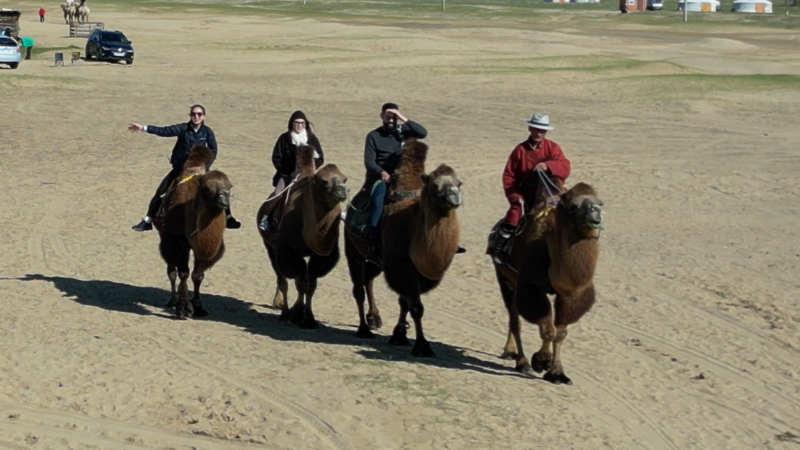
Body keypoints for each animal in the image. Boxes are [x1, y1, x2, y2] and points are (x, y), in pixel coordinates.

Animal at [155, 146, 231, 318]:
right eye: (207, 189)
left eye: (230, 186)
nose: (224, 200)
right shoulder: (178, 242)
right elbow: (183, 273)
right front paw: (183, 307)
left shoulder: (203, 249)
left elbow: (198, 275)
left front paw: (199, 307)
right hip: (165, 237)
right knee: (172, 270)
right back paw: (173, 300)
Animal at [255, 146, 346, 328]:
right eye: (323, 181)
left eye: (344, 179)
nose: (342, 191)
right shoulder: (288, 250)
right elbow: (301, 283)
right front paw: (296, 313)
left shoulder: (321, 255)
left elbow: (311, 285)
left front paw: (309, 318)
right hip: (270, 246)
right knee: (281, 278)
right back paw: (282, 309)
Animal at [346, 139, 462, 356]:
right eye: (435, 185)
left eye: (459, 183)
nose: (455, 197)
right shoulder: (400, 263)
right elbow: (416, 307)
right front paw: (422, 346)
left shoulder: (413, 271)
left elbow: (405, 302)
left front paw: (399, 335)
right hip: (352, 247)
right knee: (358, 288)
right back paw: (364, 329)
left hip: (379, 261)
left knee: (368, 278)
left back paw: (374, 318)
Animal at [490, 181, 604, 384]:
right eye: (574, 206)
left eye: (600, 203)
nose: (595, 214)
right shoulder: (531, 286)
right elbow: (548, 330)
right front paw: (541, 361)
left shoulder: (572, 294)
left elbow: (561, 333)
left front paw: (557, 372)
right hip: (503, 277)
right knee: (514, 319)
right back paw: (521, 361)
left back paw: (510, 352)